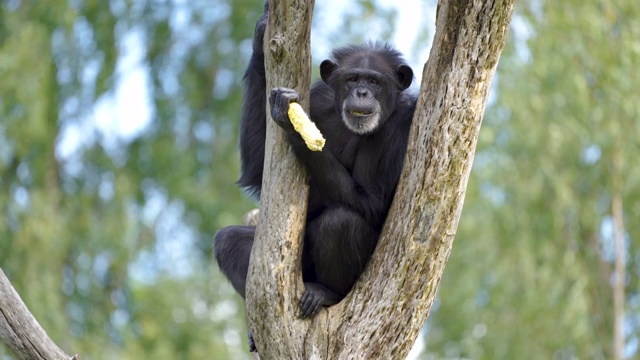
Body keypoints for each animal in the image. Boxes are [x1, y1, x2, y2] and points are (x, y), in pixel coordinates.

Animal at [212, 3, 418, 318]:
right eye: (352, 79)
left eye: (374, 81)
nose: (362, 92)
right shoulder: (318, 97)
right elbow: (258, 172)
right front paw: (261, 36)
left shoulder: (399, 124)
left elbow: (371, 200)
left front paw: (292, 123)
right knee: (228, 241)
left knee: (341, 222)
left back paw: (326, 292)